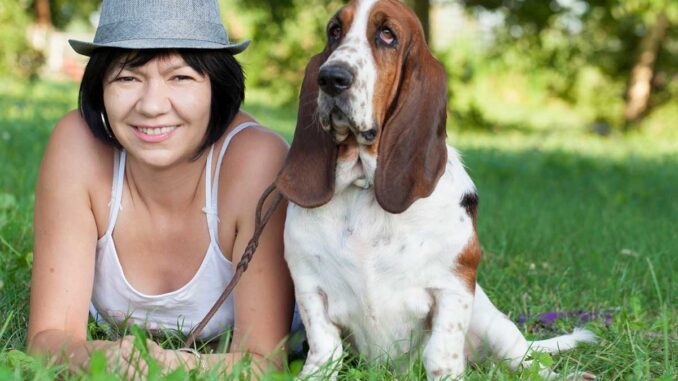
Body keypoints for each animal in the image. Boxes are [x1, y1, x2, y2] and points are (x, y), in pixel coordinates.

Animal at [274, 1, 596, 378]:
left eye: (388, 35)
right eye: (334, 31)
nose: (330, 78)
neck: (363, 184)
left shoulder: (453, 286)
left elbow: (440, 354)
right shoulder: (309, 285)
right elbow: (325, 351)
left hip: (494, 324)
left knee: (527, 362)